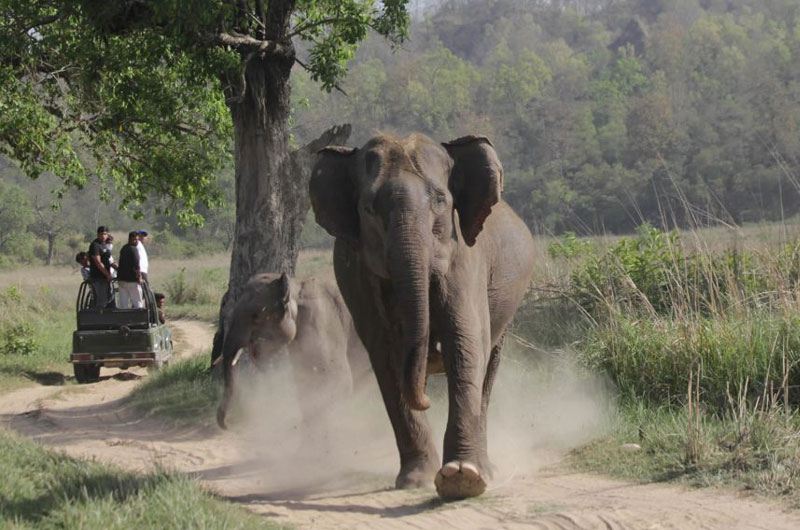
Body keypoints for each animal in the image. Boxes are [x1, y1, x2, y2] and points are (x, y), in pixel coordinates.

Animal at [217, 272, 370, 428]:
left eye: (256, 316)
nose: (228, 425)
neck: (294, 288)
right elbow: (304, 385)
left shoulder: (323, 324)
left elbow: (339, 382)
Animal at [310, 131, 536, 496]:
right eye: (369, 209)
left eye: (441, 202)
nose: (427, 400)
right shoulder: (358, 277)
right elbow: (387, 357)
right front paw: (417, 480)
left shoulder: (463, 257)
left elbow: (466, 343)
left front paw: (462, 478)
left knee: (488, 368)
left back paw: (486, 468)